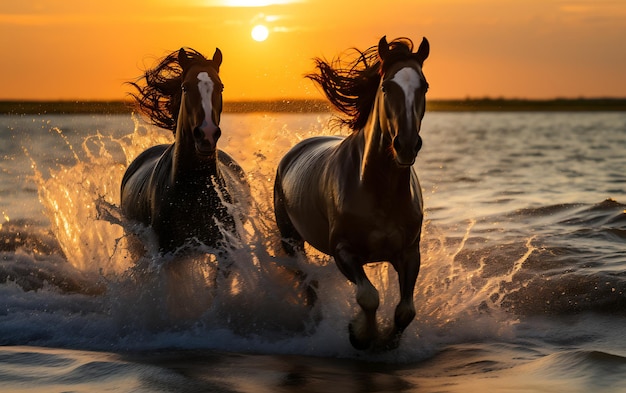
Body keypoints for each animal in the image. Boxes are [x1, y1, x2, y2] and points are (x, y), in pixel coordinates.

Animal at [274, 37, 428, 350]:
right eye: (386, 87)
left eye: (425, 86)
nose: (406, 145)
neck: (378, 189)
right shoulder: (343, 251)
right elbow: (368, 297)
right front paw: (360, 335)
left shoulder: (409, 252)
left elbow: (406, 310)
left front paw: (386, 342)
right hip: (291, 242)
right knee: (309, 286)